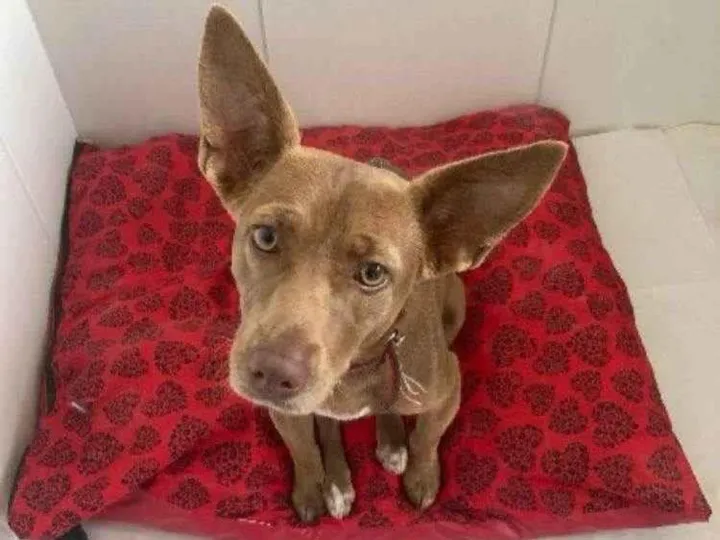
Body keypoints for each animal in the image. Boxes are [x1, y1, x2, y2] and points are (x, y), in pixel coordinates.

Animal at [197, 6, 567, 522]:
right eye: (266, 237)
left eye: (373, 273)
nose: (271, 373)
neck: (354, 372)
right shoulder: (287, 413)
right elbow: (304, 448)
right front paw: (313, 487)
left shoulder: (448, 388)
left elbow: (429, 437)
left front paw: (422, 476)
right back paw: (338, 479)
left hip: (456, 309)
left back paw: (392, 442)